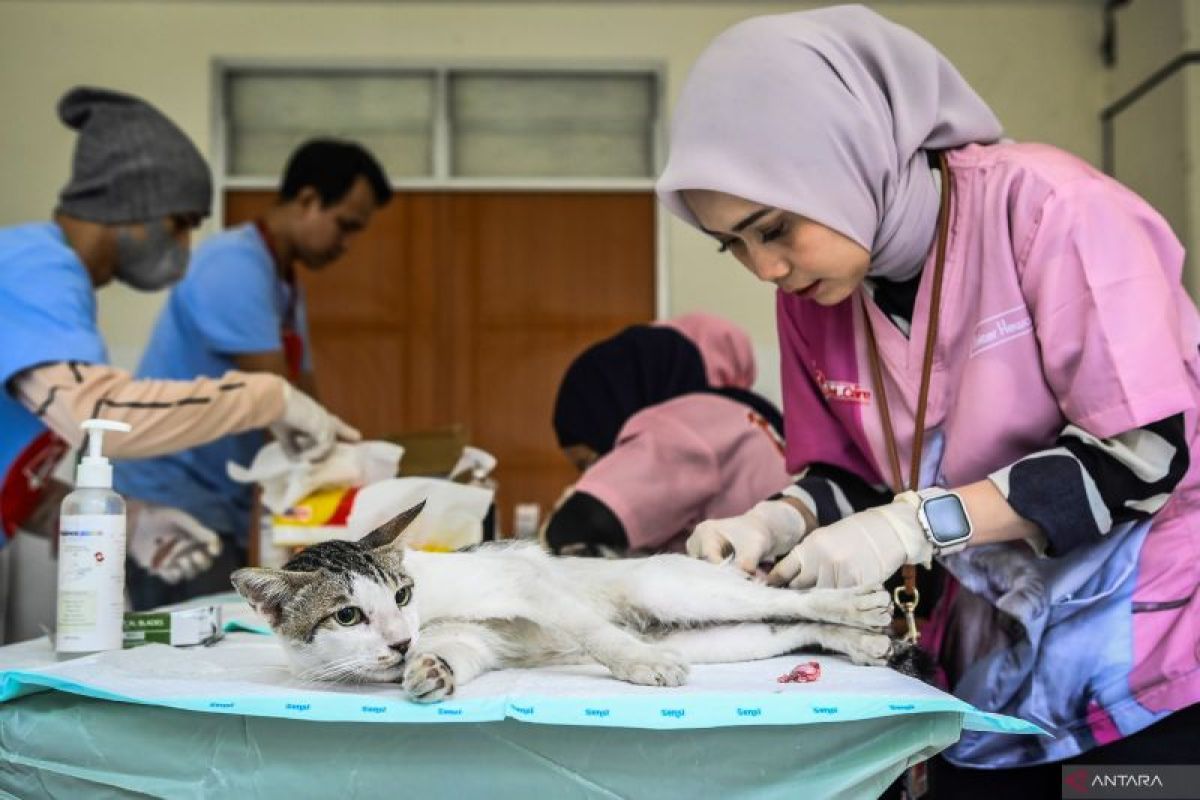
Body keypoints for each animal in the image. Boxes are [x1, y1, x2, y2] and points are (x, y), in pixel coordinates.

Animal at [229, 503, 902, 705]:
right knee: (787, 623)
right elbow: (455, 653)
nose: (400, 640)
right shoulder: (474, 641)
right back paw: (864, 640)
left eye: (401, 593)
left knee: (791, 595)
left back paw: (860, 607)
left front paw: (636, 664)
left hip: (671, 589)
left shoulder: (524, 582)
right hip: (723, 640)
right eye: (348, 615)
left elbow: (591, 630)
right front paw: (430, 672)